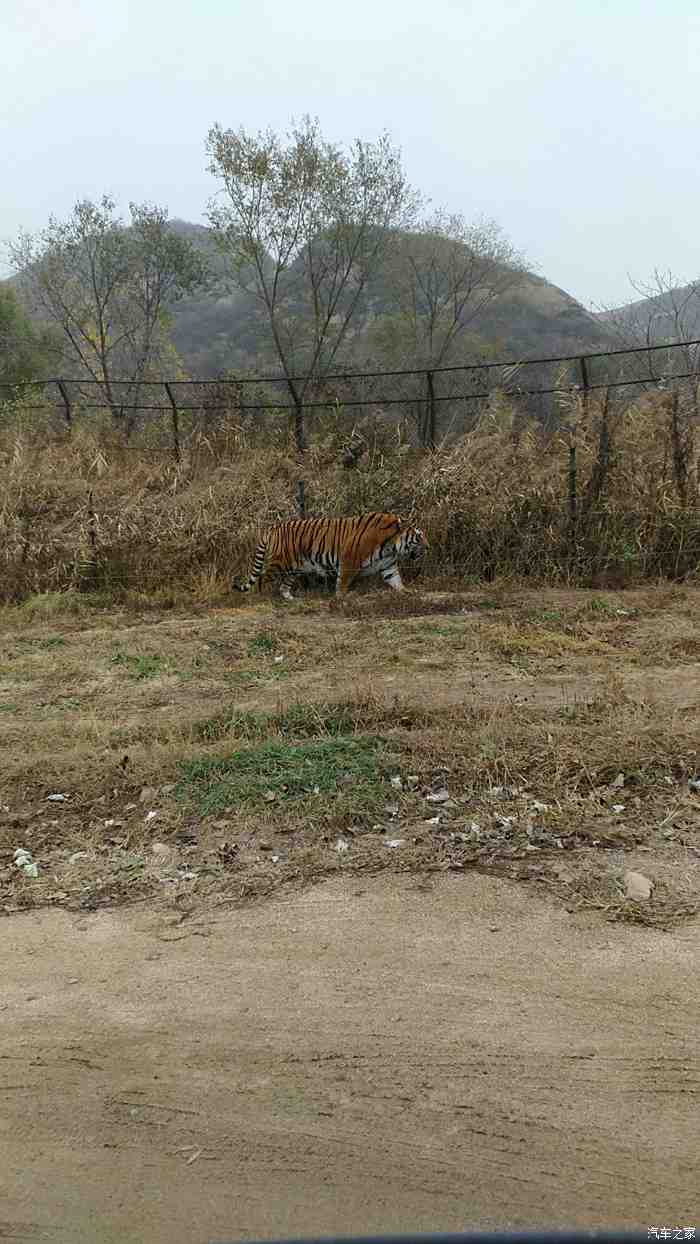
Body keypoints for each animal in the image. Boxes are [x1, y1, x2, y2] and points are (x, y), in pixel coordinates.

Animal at [234, 507, 427, 599]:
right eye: (419, 536)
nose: (428, 547)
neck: (391, 546)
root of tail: (273, 527)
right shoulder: (350, 559)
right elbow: (343, 582)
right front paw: (341, 598)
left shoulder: (388, 566)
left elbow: (396, 581)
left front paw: (407, 592)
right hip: (279, 563)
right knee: (262, 578)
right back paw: (263, 598)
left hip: (295, 567)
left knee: (284, 586)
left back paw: (292, 599)